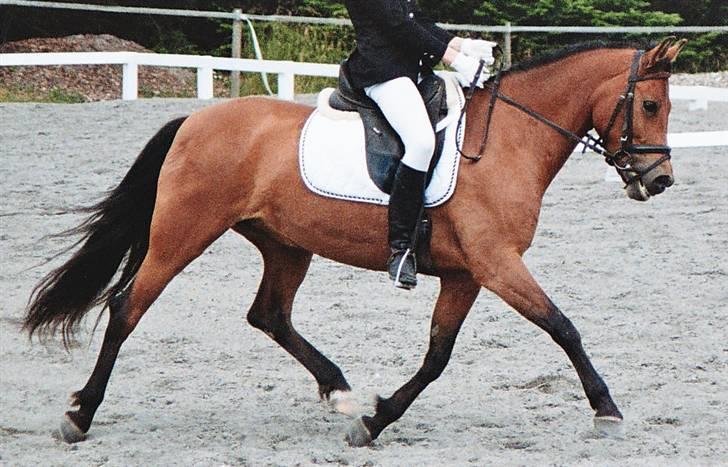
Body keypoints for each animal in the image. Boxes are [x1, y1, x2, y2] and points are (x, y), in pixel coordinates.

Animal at [24, 37, 686, 446]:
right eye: (651, 104)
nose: (660, 181)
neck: (507, 141)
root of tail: (194, 119)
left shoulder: (467, 274)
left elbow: (438, 356)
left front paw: (374, 419)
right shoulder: (497, 266)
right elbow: (563, 327)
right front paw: (606, 411)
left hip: (286, 245)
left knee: (269, 314)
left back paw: (339, 391)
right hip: (182, 234)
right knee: (126, 308)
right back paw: (80, 415)